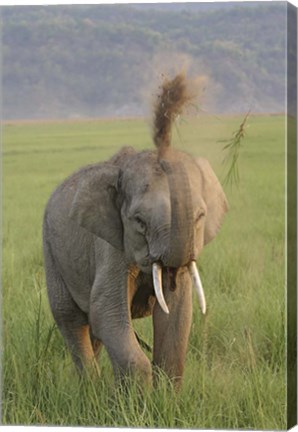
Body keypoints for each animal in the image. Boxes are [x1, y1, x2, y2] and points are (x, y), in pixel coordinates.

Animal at [42, 72, 228, 386]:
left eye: (200, 216)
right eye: (139, 221)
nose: (168, 114)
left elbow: (177, 312)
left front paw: (164, 394)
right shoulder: (111, 245)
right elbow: (106, 310)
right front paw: (138, 393)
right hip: (50, 249)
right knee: (72, 318)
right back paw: (89, 388)